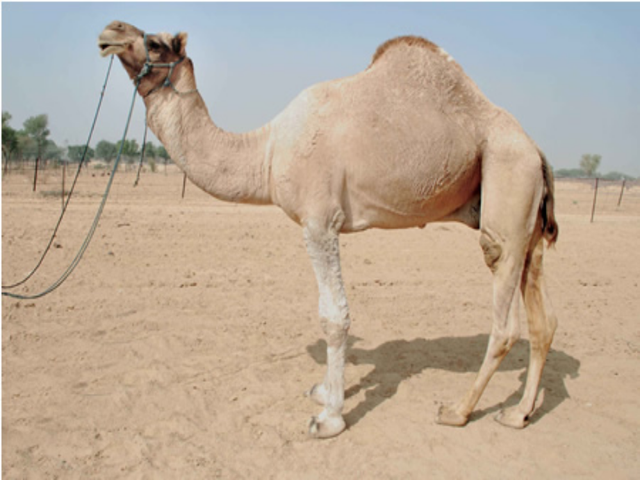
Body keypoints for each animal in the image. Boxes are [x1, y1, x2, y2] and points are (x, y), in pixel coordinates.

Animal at [98, 21, 559, 439]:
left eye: (156, 43)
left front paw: (330, 417)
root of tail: (537, 149)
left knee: (503, 310)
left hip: (508, 175)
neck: (267, 152)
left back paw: (458, 410)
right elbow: (325, 311)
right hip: (529, 219)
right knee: (543, 319)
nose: (109, 31)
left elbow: (334, 316)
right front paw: (323, 391)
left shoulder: (320, 221)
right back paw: (518, 413)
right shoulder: (316, 223)